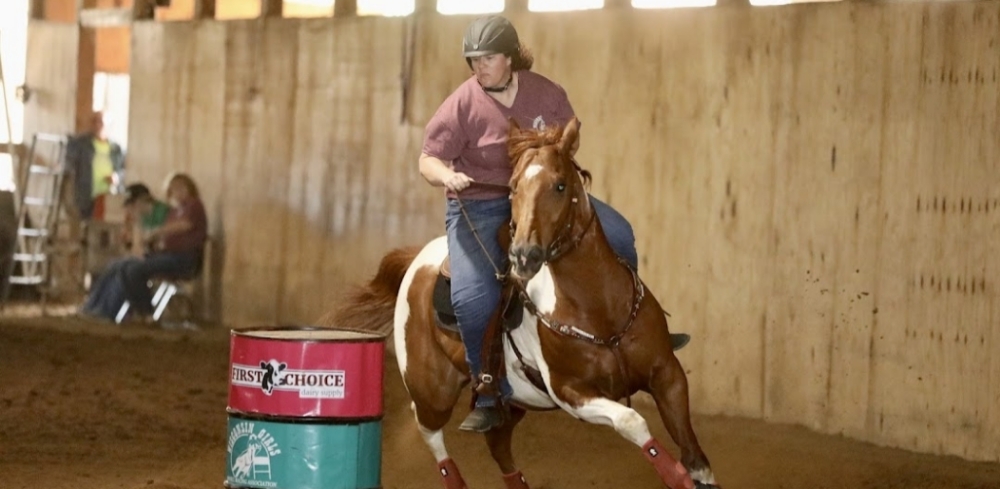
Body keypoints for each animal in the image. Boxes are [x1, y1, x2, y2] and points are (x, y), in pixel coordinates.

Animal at [324, 118, 724, 488]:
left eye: (560, 185)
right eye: (514, 187)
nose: (524, 255)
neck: (599, 311)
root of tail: (419, 258)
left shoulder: (668, 375)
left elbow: (696, 456)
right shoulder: (571, 393)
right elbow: (633, 421)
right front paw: (676, 476)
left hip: (512, 402)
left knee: (497, 439)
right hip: (432, 391)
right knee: (427, 426)